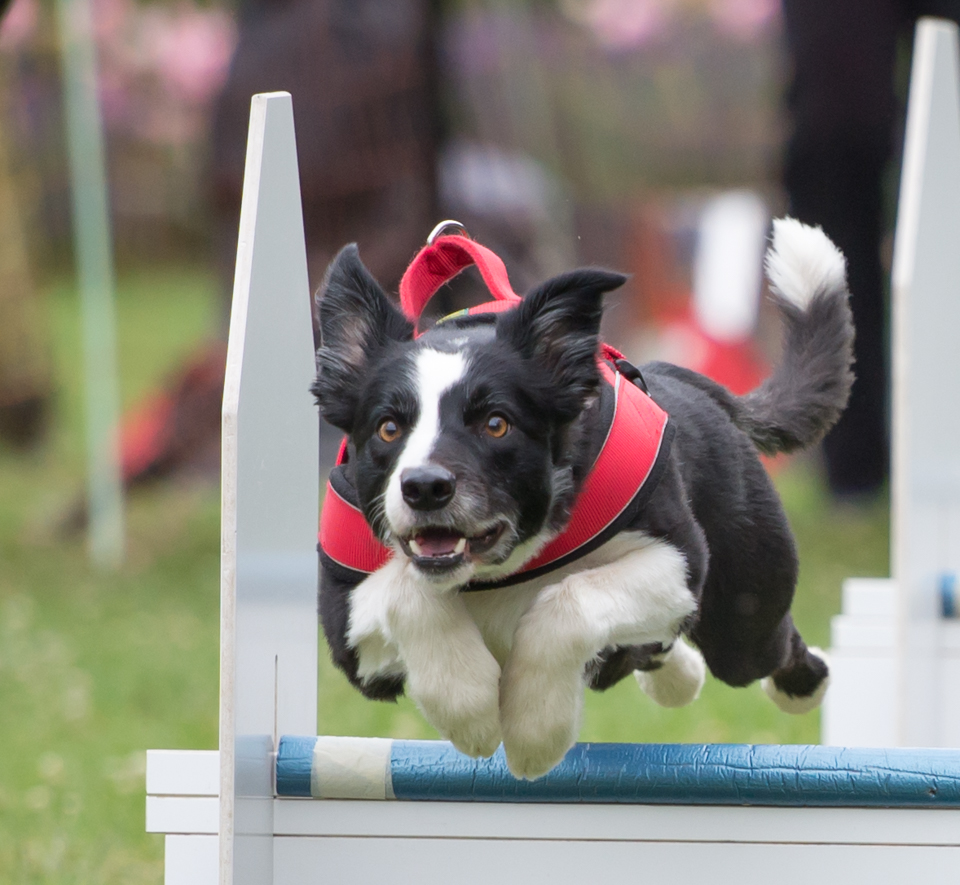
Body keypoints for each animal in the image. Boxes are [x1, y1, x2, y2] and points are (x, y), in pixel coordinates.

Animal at [316, 218, 856, 776]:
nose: (424, 487)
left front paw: (535, 732)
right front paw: (470, 706)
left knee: (766, 651)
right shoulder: (346, 628)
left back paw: (811, 683)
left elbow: (567, 599)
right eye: (388, 427)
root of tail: (686, 380)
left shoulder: (680, 561)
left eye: (496, 423)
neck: (498, 569)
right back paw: (675, 678)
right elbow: (407, 591)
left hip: (744, 608)